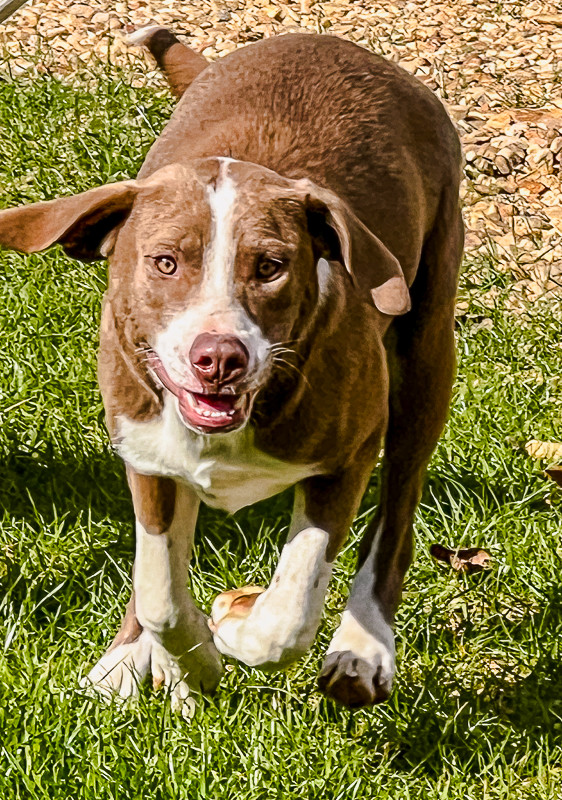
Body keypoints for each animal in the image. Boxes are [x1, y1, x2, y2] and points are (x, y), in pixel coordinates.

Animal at [0, 29, 462, 712]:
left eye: (270, 266)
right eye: (165, 261)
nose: (218, 356)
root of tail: (327, 41)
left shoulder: (349, 453)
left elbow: (288, 609)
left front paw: (233, 626)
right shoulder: (148, 454)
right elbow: (160, 590)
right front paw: (187, 662)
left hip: (426, 346)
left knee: (396, 514)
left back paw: (362, 647)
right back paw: (129, 660)